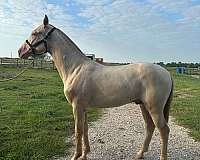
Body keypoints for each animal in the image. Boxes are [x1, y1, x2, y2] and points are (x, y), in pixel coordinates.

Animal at [18, 15, 173, 160]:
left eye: (35, 32)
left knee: (164, 130)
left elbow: (78, 131)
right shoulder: (83, 107)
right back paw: (139, 154)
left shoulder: (76, 106)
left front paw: (76, 155)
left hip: (154, 108)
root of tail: (166, 73)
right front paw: (85, 154)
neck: (75, 68)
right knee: (150, 127)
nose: (20, 51)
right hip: (143, 106)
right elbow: (85, 129)